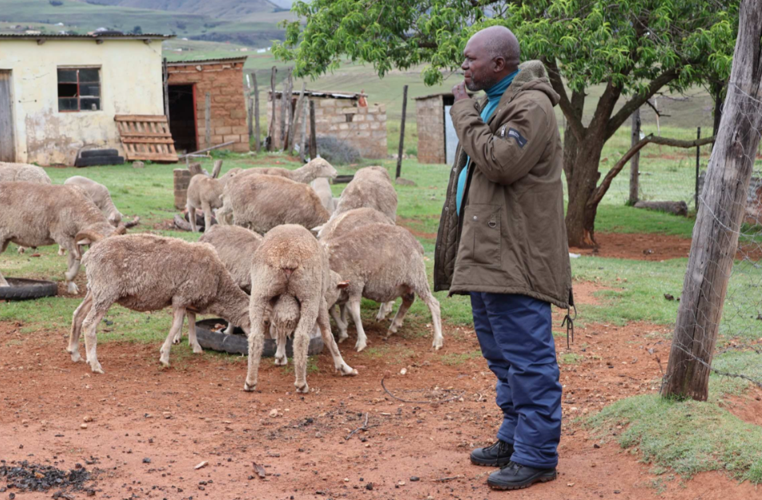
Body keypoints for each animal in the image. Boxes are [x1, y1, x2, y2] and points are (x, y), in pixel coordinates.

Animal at [68, 233, 251, 374]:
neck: (219, 283)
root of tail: (89, 256)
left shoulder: (189, 297)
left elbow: (191, 320)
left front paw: (196, 346)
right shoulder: (181, 297)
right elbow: (177, 325)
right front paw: (164, 357)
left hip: (94, 290)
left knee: (77, 315)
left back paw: (74, 353)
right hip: (106, 291)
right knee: (89, 324)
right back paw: (95, 364)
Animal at [245, 224, 357, 394]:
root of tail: (288, 255)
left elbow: (279, 330)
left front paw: (280, 356)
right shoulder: (321, 302)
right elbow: (327, 335)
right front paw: (344, 367)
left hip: (260, 292)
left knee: (256, 336)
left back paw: (250, 381)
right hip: (309, 295)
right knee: (302, 337)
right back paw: (301, 383)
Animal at [323, 223, 443, 352]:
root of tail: (416, 242)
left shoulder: (355, 286)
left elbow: (355, 314)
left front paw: (361, 341)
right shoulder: (341, 292)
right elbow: (334, 310)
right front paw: (343, 331)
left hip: (416, 275)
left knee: (433, 304)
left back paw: (438, 339)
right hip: (403, 283)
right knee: (409, 300)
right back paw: (393, 327)